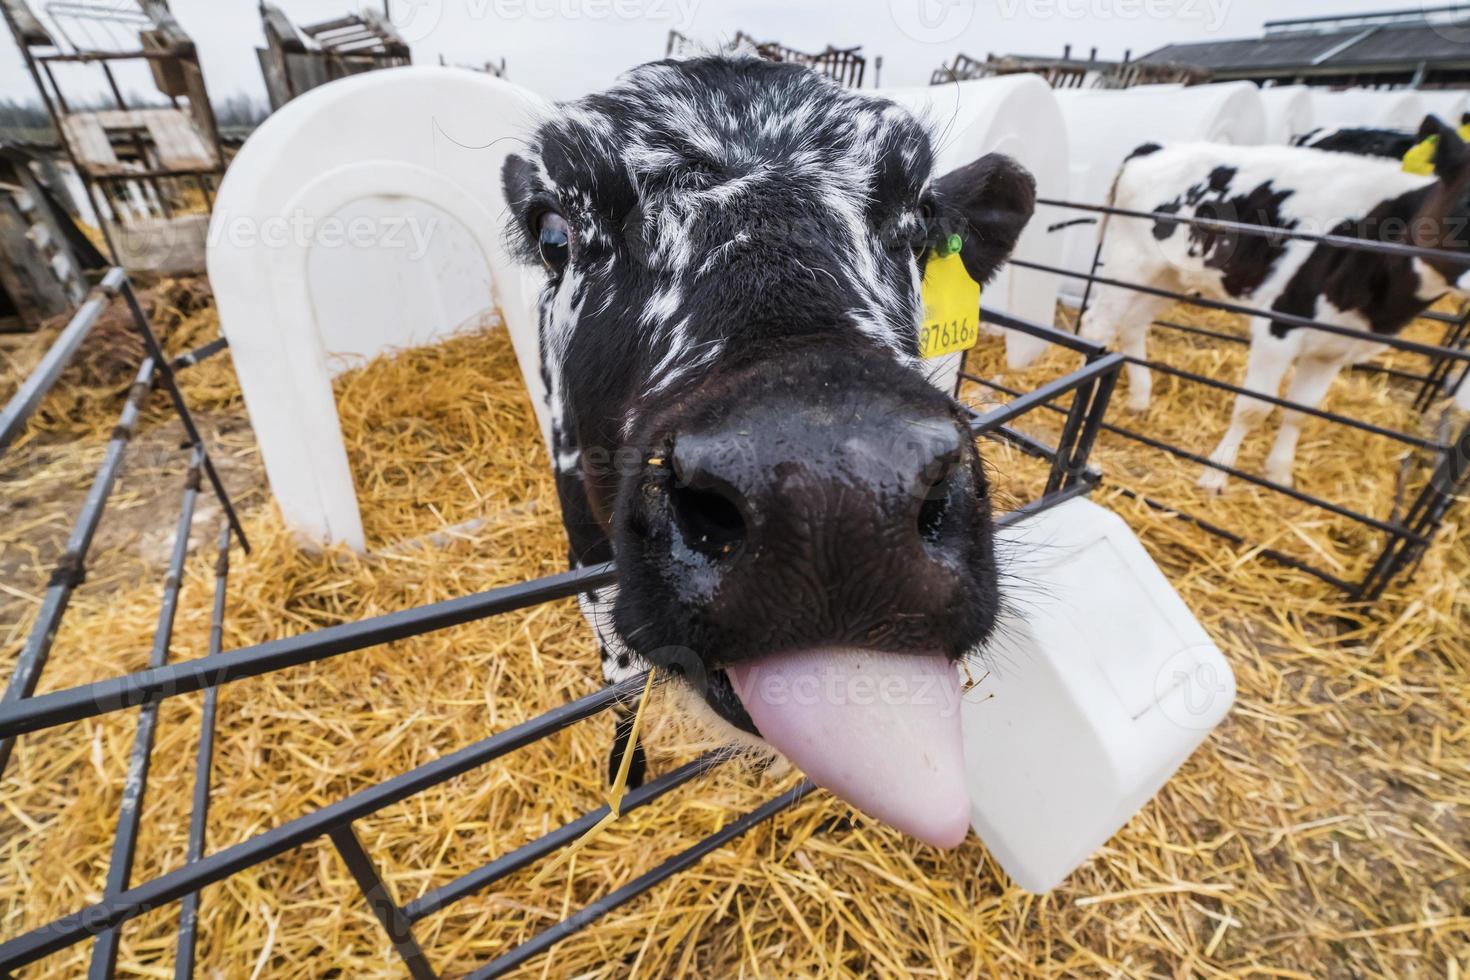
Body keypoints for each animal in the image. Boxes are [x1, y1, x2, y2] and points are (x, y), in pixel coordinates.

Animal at [499, 55, 1040, 852]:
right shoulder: (585, 547)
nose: (832, 500)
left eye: (918, 224)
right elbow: (621, 677)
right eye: (555, 233)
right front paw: (626, 771)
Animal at [1081, 119, 1470, 493]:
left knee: (1133, 324)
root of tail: (1157, 146)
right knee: (1097, 324)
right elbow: (1254, 408)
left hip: (1170, 274)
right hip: (1130, 259)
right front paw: (1215, 475)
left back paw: (1140, 397)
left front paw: (1280, 472)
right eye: (1464, 207)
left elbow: (1300, 411)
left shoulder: (1334, 348)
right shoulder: (1279, 328)